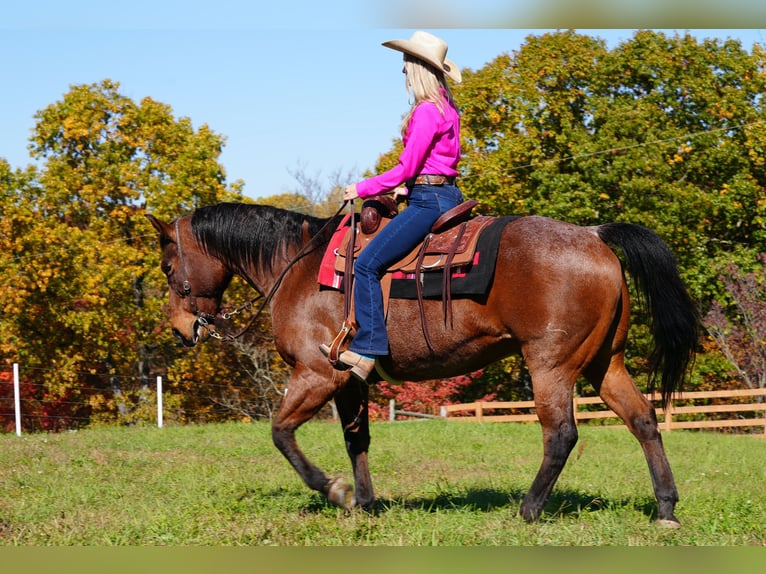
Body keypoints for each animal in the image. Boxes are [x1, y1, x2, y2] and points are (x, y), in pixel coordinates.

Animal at [146, 201, 704, 528]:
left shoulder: (318, 374)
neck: (299, 268)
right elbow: (357, 441)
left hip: (551, 365)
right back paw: (666, 508)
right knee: (643, 420)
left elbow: (281, 433)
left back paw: (528, 509)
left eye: (168, 267)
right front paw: (366, 504)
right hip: (604, 363)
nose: (181, 329)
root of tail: (593, 234)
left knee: (561, 434)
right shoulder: (351, 381)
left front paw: (336, 491)